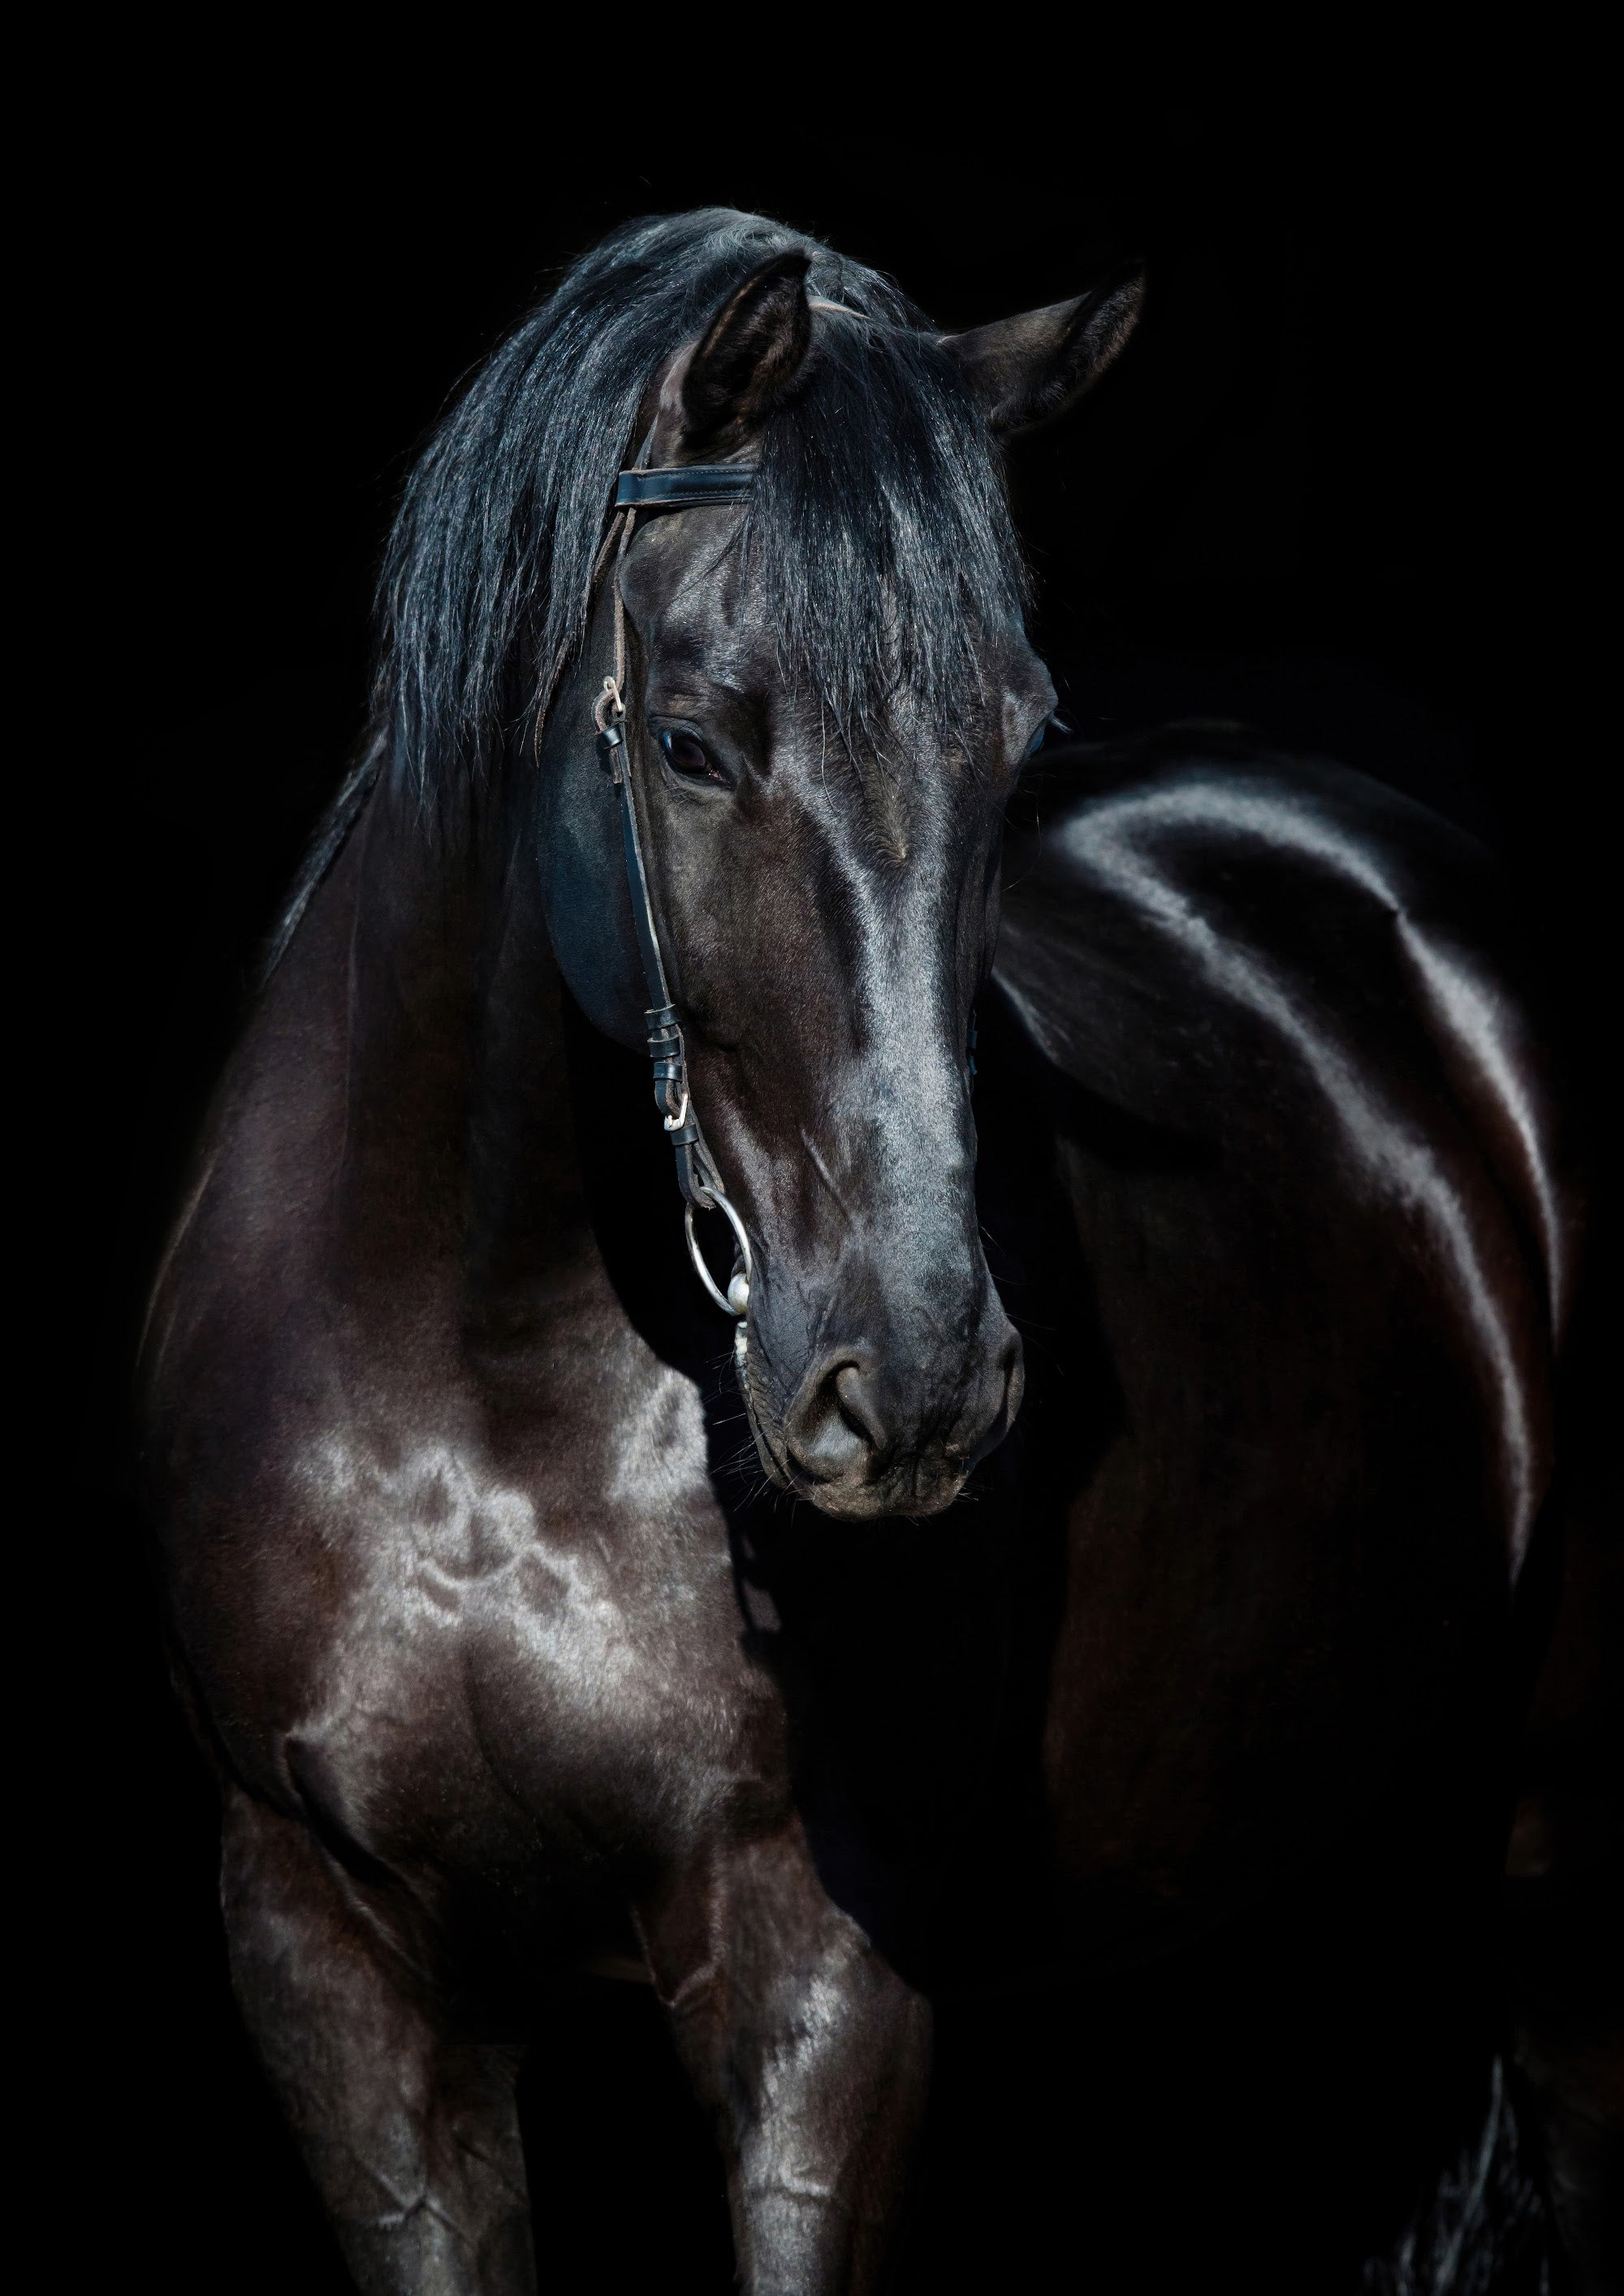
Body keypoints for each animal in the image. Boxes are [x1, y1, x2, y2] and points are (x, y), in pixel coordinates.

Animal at [139, 209, 1583, 2292]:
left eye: (1013, 739)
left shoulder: (823, 1976)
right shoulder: (334, 1967)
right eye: (685, 742)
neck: (481, 1383)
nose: (908, 1384)